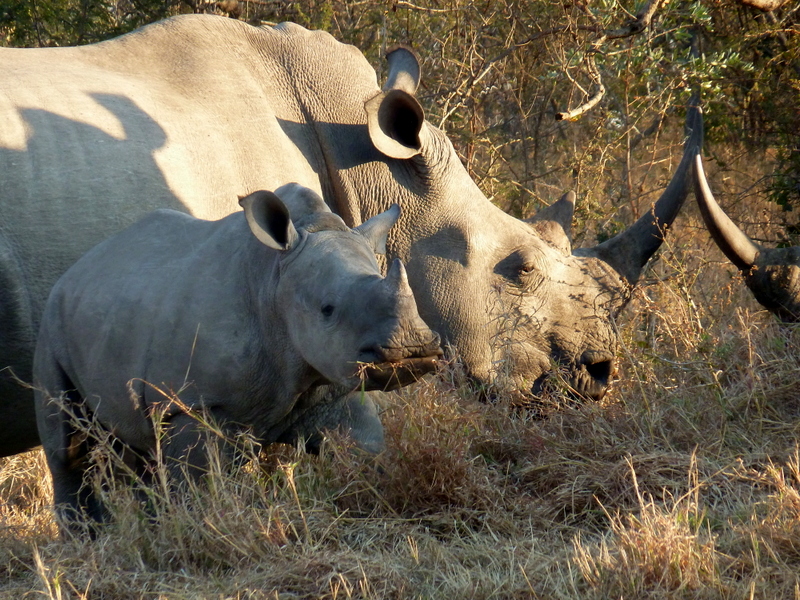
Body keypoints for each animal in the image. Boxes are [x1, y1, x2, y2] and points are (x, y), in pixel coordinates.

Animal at [33, 183, 442, 527]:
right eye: (327, 309)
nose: (411, 349)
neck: (275, 280)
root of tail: (74, 271)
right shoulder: (192, 402)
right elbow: (196, 482)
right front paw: (199, 528)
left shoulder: (332, 383)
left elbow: (365, 448)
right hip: (51, 323)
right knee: (68, 447)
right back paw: (86, 540)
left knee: (140, 449)